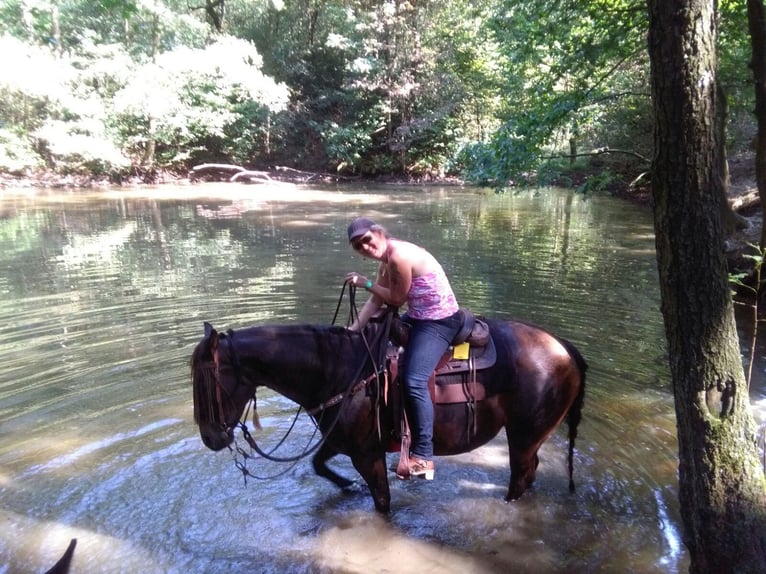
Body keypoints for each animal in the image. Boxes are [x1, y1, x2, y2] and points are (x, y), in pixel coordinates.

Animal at [192, 312, 588, 516]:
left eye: (207, 381)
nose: (210, 438)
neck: (337, 368)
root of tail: (565, 347)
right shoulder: (343, 441)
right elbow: (318, 464)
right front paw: (346, 487)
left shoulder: (367, 454)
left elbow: (382, 502)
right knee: (531, 473)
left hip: (523, 436)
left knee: (520, 477)